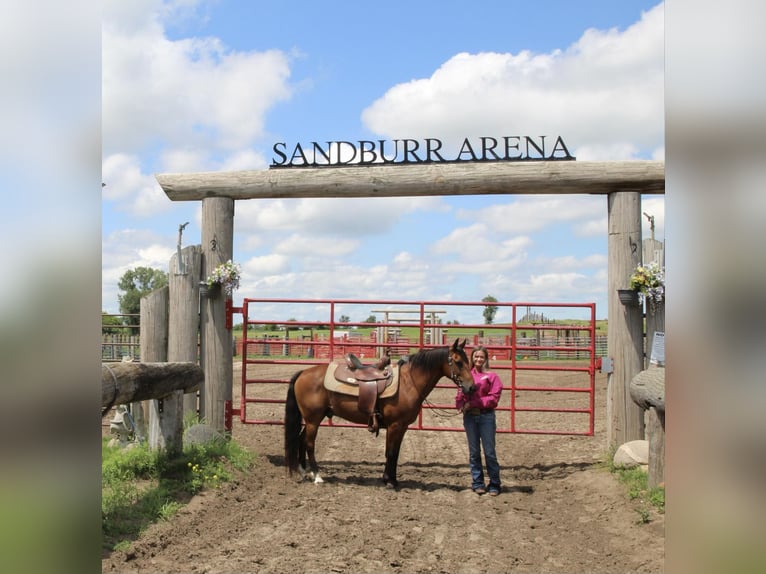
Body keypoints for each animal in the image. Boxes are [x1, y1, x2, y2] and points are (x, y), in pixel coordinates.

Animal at [284, 342, 474, 490]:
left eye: (469, 361)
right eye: (458, 362)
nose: (471, 387)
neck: (409, 382)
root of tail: (303, 373)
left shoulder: (401, 427)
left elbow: (394, 453)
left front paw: (391, 480)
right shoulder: (395, 425)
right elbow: (391, 452)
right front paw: (390, 482)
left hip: (312, 420)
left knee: (301, 440)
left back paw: (304, 472)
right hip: (313, 419)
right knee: (309, 443)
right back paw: (317, 476)